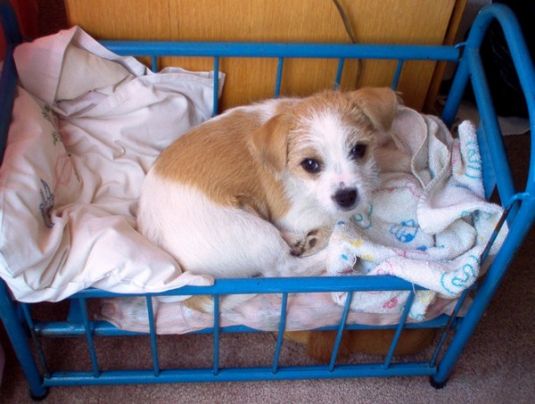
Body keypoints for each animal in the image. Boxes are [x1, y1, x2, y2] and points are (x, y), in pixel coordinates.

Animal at [138, 87, 398, 280]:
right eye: (310, 164)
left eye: (359, 150)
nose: (347, 197)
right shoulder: (294, 212)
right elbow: (336, 218)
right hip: (253, 235)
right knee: (286, 269)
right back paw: (335, 252)